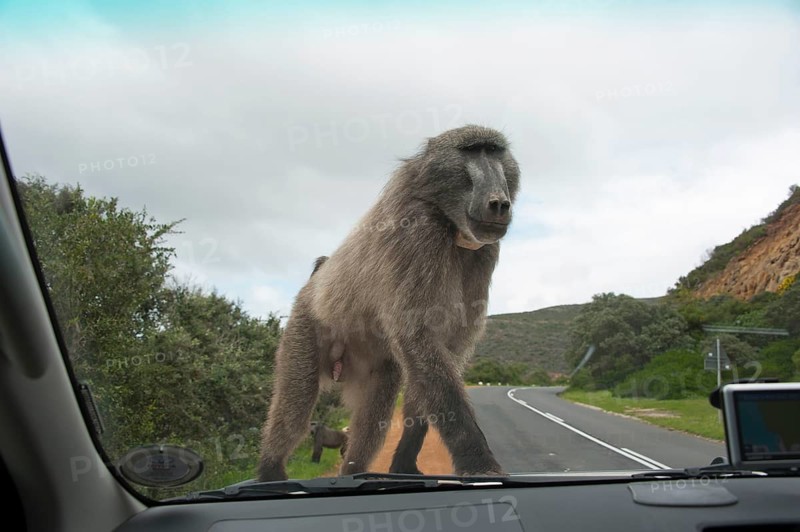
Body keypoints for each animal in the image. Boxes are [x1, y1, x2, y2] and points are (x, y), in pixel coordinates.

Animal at [258, 125, 519, 481]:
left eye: (495, 152)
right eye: (473, 151)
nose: (499, 203)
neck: (446, 222)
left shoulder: (484, 252)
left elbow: (446, 348)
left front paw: (404, 464)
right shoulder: (417, 234)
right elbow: (418, 335)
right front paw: (479, 464)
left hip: (372, 364)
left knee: (372, 417)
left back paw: (353, 472)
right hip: (305, 329)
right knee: (295, 408)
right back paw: (270, 472)